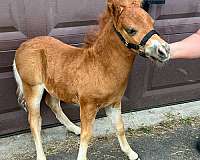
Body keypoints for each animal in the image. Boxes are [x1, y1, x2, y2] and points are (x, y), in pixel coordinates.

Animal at [13, 0, 170, 159]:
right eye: (131, 30)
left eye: (152, 22)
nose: (164, 51)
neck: (100, 66)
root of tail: (21, 47)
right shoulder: (88, 105)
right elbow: (87, 134)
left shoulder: (114, 102)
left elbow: (119, 127)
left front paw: (131, 153)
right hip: (32, 88)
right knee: (34, 121)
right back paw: (42, 155)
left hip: (54, 86)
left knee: (52, 104)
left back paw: (74, 128)